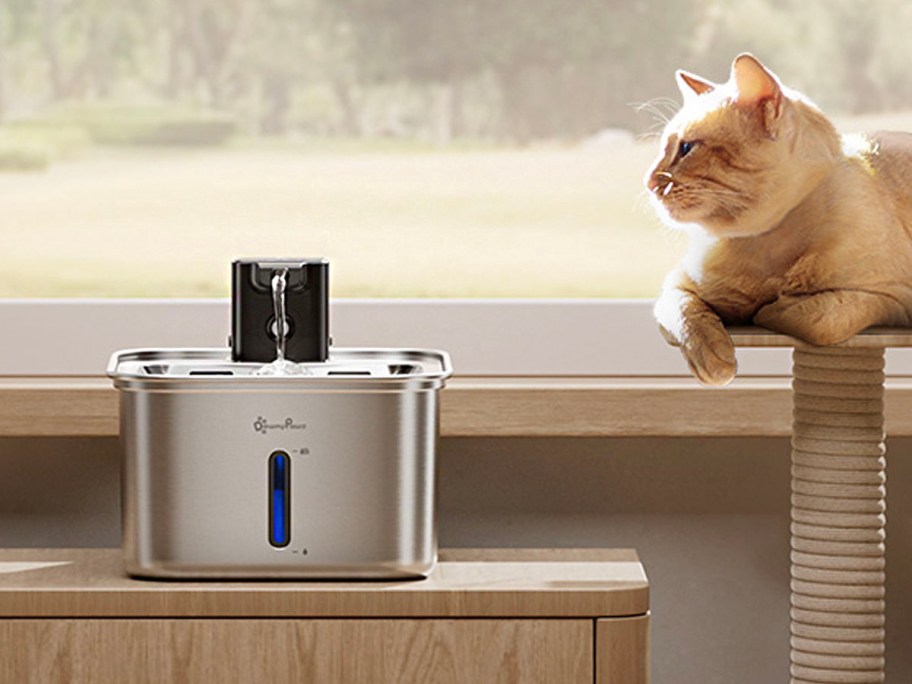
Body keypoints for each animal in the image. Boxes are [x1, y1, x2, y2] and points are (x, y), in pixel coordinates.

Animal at [644, 53, 912, 384]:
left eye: (687, 148)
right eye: (664, 149)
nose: (649, 182)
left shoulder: (892, 299)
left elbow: (814, 318)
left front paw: (769, 309)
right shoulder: (677, 286)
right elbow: (688, 315)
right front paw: (717, 364)